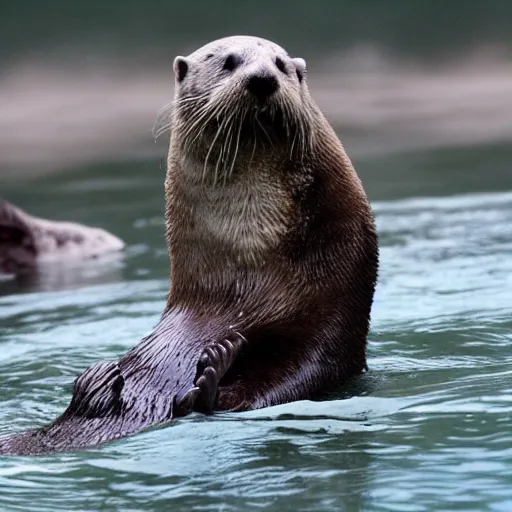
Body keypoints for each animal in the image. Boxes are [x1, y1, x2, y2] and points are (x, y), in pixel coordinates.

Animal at [0, 34, 376, 454]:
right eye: (230, 62)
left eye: (280, 65)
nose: (262, 78)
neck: (245, 285)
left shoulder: (328, 315)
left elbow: (295, 373)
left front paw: (212, 379)